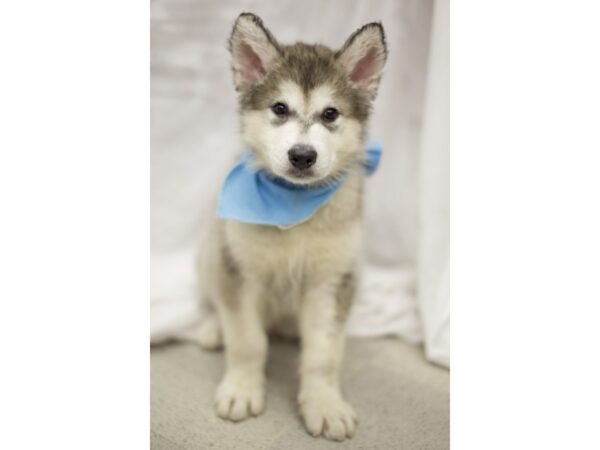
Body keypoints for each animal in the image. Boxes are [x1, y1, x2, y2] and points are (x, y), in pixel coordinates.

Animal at [197, 12, 384, 442]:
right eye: (279, 108)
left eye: (330, 114)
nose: (302, 155)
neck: (293, 209)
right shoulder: (240, 270)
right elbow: (247, 340)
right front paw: (241, 389)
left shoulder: (332, 280)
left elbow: (323, 355)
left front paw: (325, 404)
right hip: (211, 250)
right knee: (215, 297)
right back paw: (212, 327)